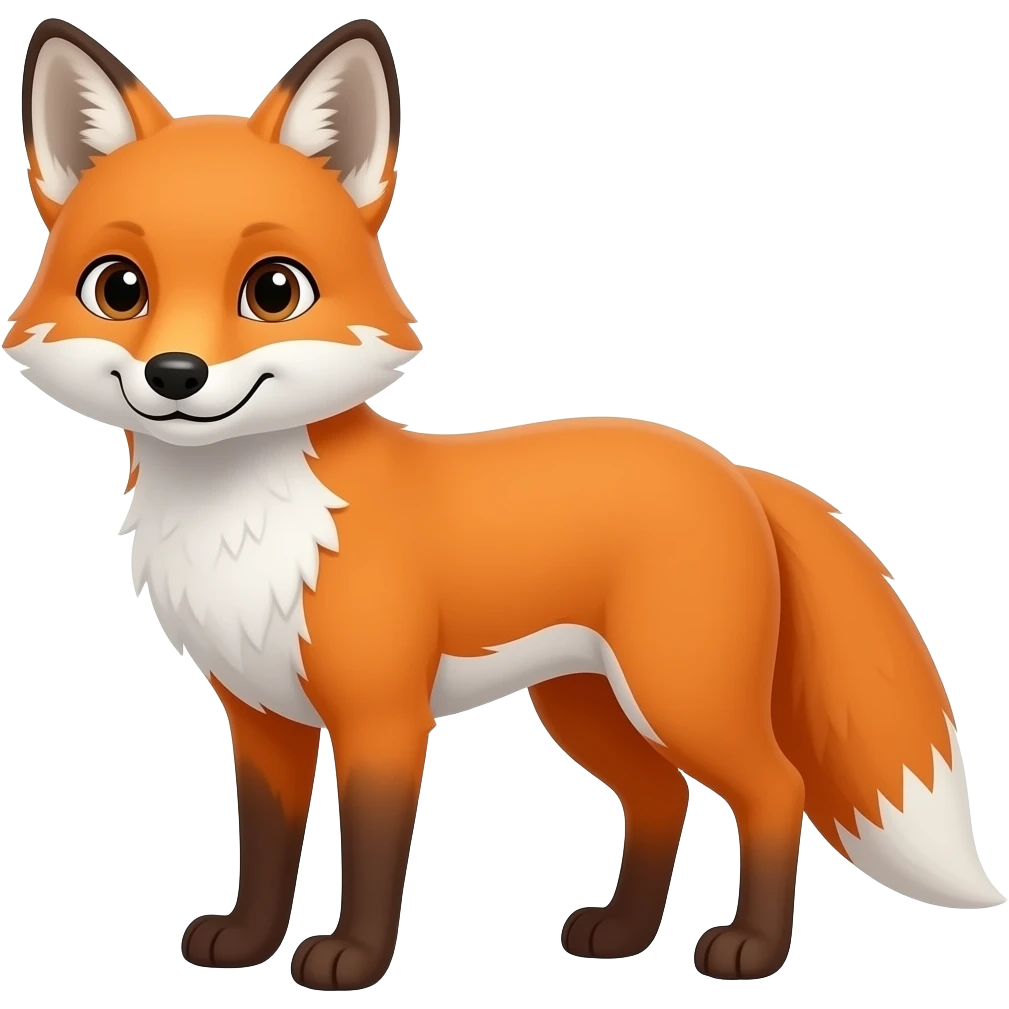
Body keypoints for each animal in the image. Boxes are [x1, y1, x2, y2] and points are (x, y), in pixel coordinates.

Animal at [6, 16, 1005, 991]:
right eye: (119, 287)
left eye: (274, 290)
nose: (175, 375)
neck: (246, 525)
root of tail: (730, 467)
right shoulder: (261, 718)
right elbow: (265, 849)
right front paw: (247, 943)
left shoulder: (382, 716)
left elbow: (372, 853)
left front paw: (351, 959)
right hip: (586, 703)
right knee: (660, 796)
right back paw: (620, 934)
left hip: (681, 693)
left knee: (774, 789)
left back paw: (749, 950)